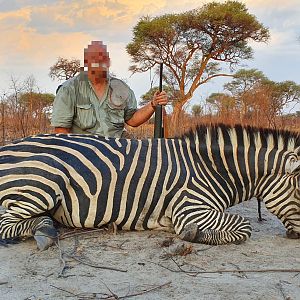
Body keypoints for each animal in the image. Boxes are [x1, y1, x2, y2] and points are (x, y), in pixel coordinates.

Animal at [0, 123, 298, 250]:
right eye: (299, 192)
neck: (211, 168)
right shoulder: (191, 209)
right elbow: (244, 227)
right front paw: (193, 235)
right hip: (47, 180)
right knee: (6, 223)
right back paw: (44, 231)